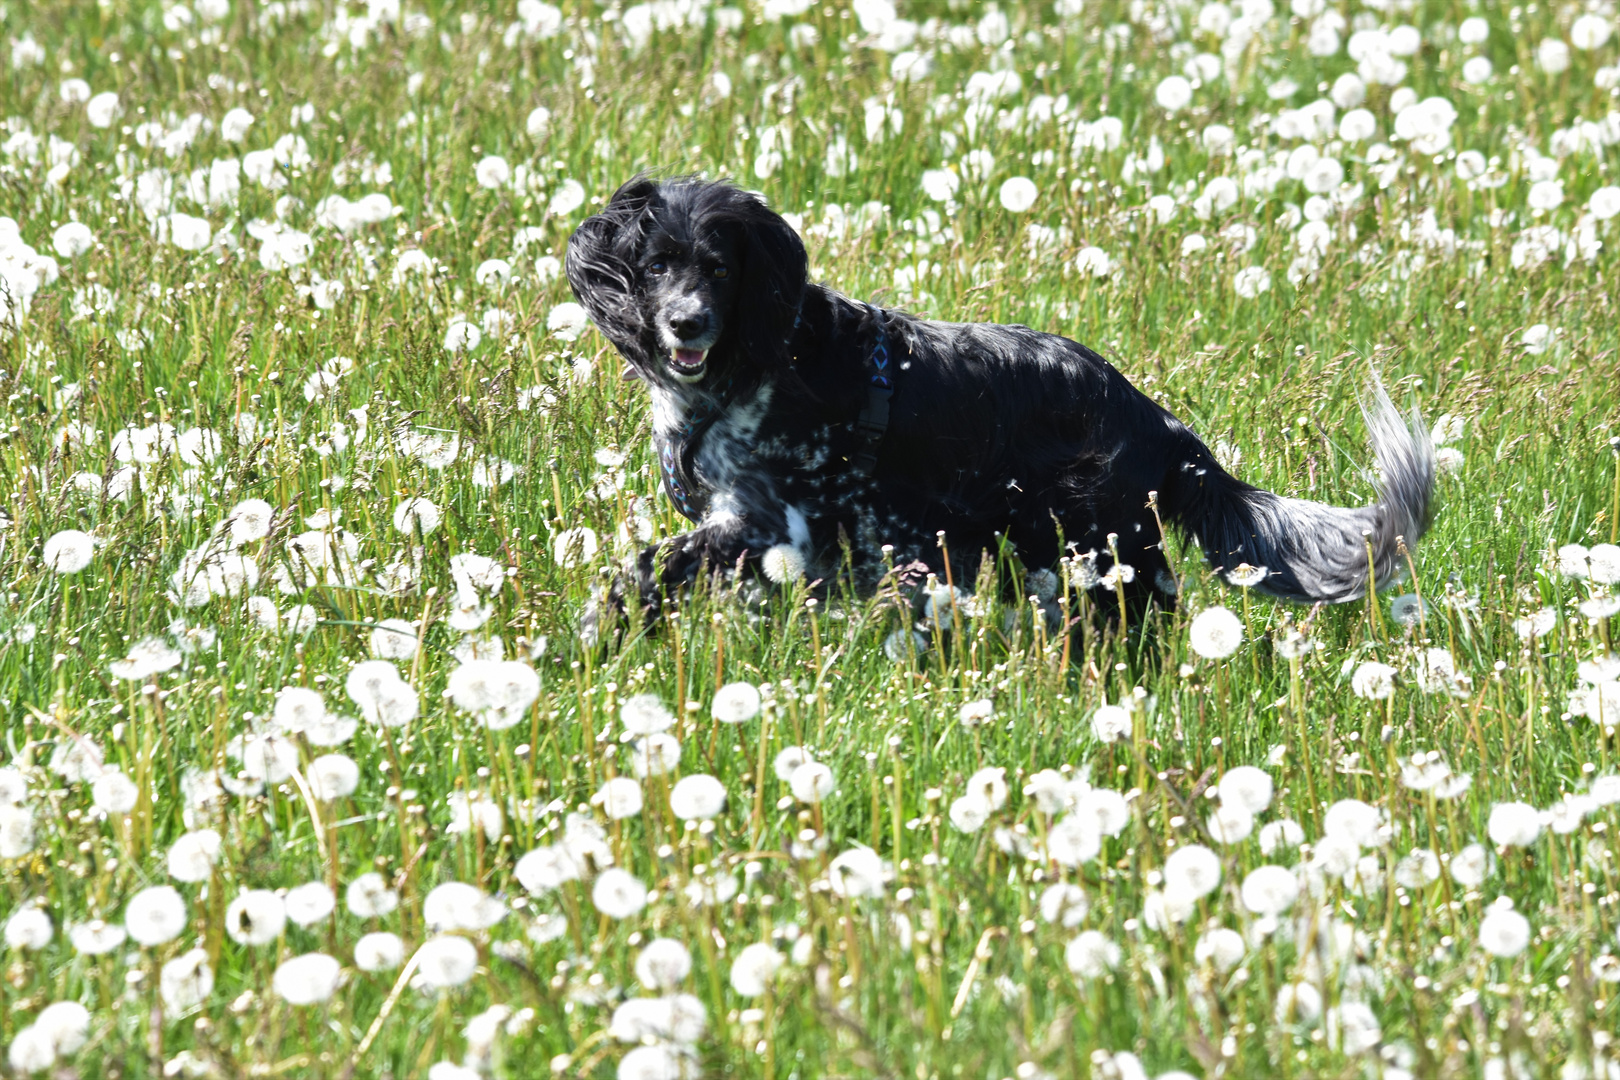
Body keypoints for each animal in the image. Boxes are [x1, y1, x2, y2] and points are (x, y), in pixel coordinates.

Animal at [563, 179, 1438, 625]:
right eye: (655, 265)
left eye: (719, 268)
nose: (686, 323)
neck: (755, 364)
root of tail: (1162, 425)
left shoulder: (766, 521)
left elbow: (649, 565)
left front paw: (600, 626)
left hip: (1100, 548)